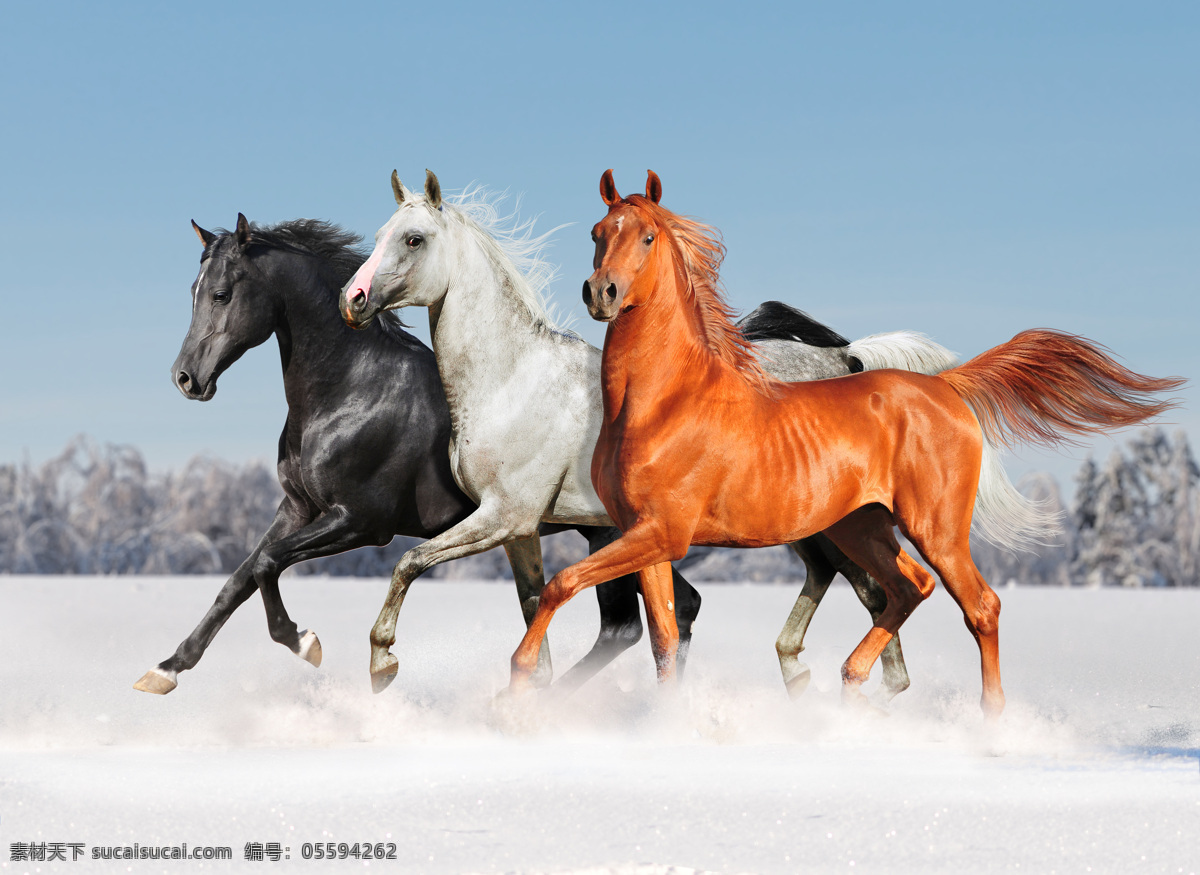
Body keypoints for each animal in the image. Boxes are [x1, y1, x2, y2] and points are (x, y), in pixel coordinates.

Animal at [137, 214, 700, 691]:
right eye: (194, 291)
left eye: (221, 293)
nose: (186, 378)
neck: (351, 390)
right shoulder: (297, 508)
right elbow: (239, 578)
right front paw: (165, 669)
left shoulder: (360, 521)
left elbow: (268, 564)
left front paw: (305, 643)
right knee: (669, 610)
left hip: (606, 530)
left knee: (630, 623)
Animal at [338, 172, 955, 696]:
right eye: (380, 235)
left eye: (413, 239)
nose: (353, 300)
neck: (512, 378)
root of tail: (844, 359)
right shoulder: (520, 531)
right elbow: (533, 607)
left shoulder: (503, 516)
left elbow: (408, 561)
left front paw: (382, 663)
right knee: (854, 585)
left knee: (873, 590)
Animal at [504, 170, 1180, 715]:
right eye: (598, 230)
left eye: (646, 237)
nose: (601, 293)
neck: (664, 401)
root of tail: (945, 387)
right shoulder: (646, 537)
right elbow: (665, 642)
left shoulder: (661, 533)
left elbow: (561, 585)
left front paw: (517, 682)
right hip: (863, 525)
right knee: (906, 589)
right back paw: (850, 682)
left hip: (933, 527)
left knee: (978, 605)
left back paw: (988, 722)